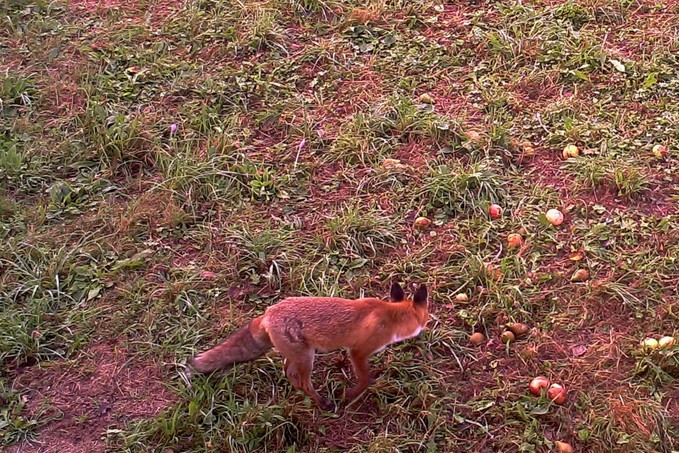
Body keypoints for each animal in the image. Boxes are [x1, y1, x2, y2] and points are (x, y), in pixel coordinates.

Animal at [189, 280, 428, 408]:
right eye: (426, 317)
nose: (428, 325)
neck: (390, 316)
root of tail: (267, 313)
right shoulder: (358, 352)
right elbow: (365, 380)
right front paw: (350, 395)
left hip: (297, 355)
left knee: (288, 372)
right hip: (307, 358)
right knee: (304, 382)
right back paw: (321, 403)